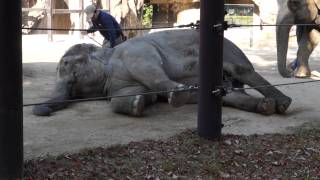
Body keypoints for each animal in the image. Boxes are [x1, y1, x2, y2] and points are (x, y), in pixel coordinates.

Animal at [33, 29, 292, 116]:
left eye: (68, 65)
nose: (39, 110)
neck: (108, 57)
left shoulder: (135, 52)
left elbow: (150, 70)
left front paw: (178, 95)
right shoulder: (115, 83)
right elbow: (132, 93)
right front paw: (138, 103)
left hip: (230, 50)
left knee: (245, 70)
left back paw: (283, 104)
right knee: (230, 96)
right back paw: (266, 107)